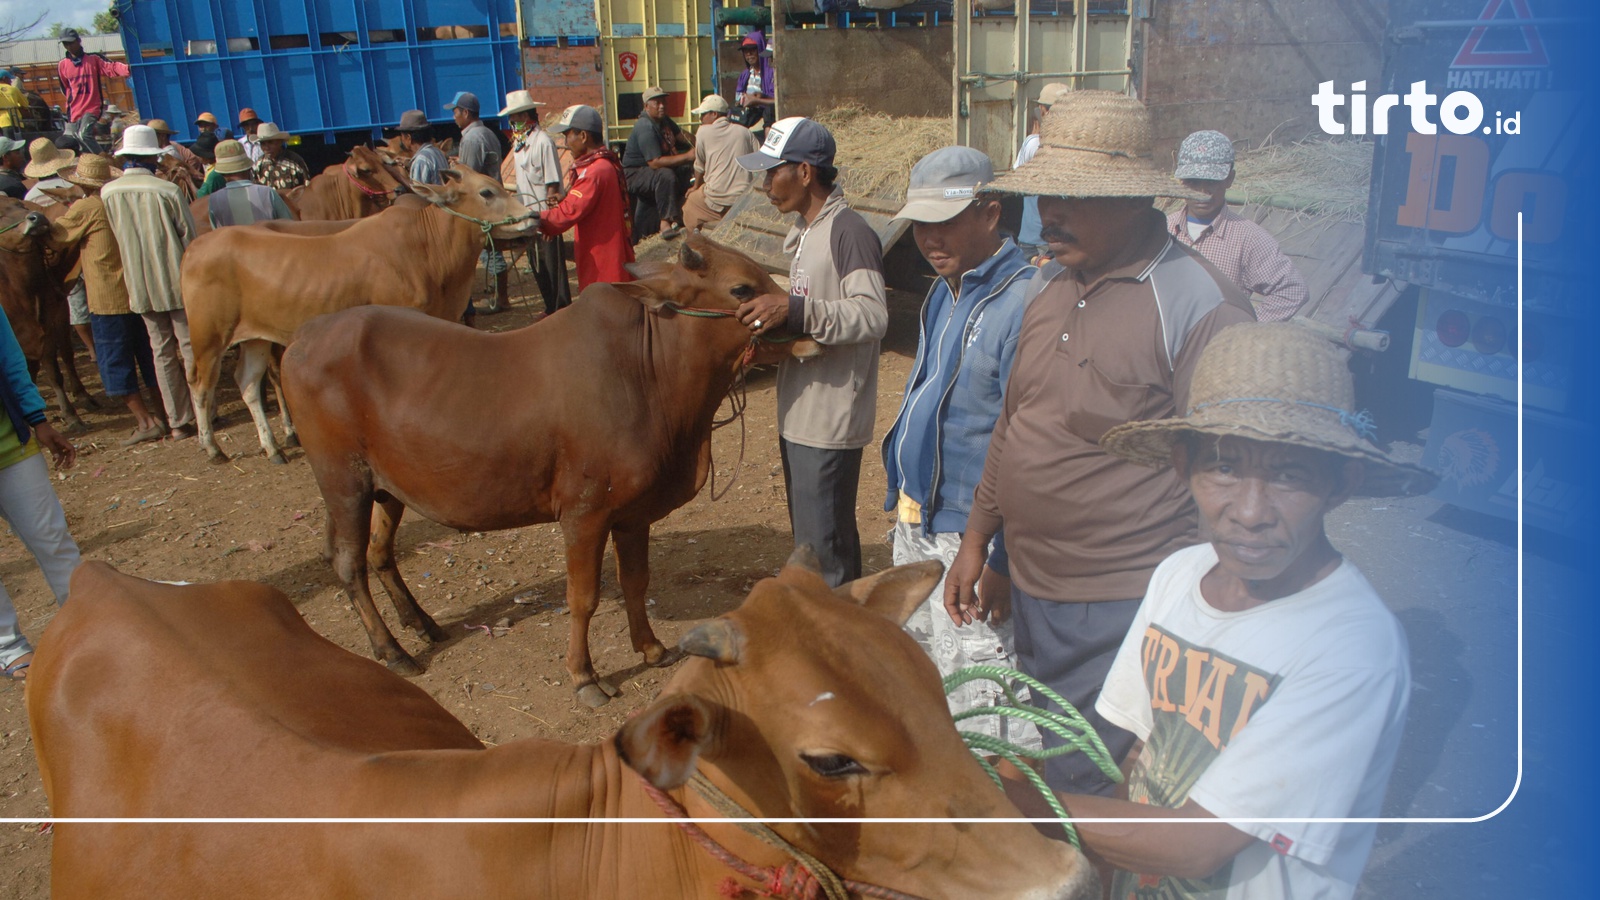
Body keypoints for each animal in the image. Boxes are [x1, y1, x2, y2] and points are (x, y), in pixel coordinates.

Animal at [181, 164, 531, 464]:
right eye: (486, 191)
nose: (531, 216)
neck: (428, 245)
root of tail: (194, 247)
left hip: (255, 337)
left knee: (249, 383)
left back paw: (273, 447)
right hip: (209, 336)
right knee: (198, 383)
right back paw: (212, 448)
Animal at [281, 232, 819, 701]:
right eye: (742, 288)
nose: (808, 324)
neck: (650, 370)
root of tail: (304, 336)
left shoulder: (632, 514)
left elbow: (636, 581)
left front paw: (650, 648)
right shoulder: (584, 516)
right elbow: (583, 598)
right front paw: (584, 677)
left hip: (388, 487)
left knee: (379, 553)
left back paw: (424, 625)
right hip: (343, 481)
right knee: (349, 564)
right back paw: (392, 650)